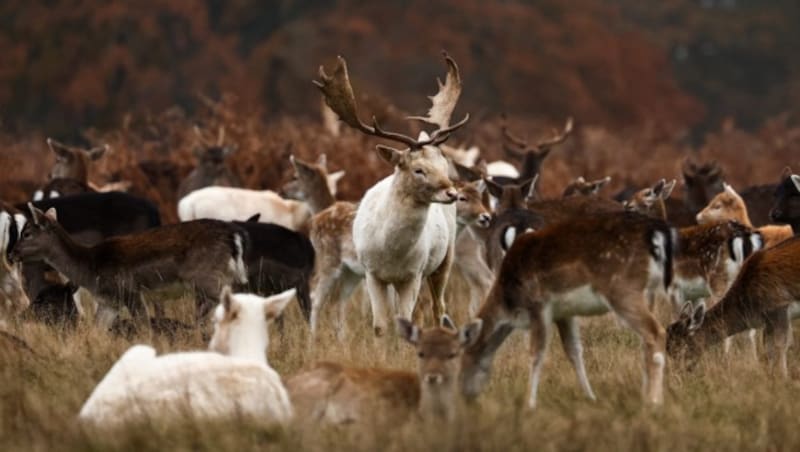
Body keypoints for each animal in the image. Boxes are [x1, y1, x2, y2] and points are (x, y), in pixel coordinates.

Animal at [9, 206, 247, 328]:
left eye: (26, 233)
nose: (12, 253)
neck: (90, 269)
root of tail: (232, 237)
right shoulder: (109, 302)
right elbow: (96, 330)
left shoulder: (130, 291)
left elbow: (144, 328)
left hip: (207, 279)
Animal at [316, 53, 472, 336]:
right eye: (418, 169)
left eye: (444, 165)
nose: (453, 193)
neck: (392, 252)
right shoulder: (372, 273)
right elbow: (379, 325)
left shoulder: (413, 274)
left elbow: (405, 320)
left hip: (445, 259)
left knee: (438, 308)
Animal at [456, 213, 676, 410]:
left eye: (461, 358)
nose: (465, 397)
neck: (508, 303)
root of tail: (657, 234)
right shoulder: (565, 314)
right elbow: (574, 351)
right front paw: (590, 397)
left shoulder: (538, 305)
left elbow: (536, 352)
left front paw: (529, 403)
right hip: (643, 292)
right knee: (646, 340)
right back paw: (645, 394)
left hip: (623, 290)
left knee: (656, 332)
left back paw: (654, 401)